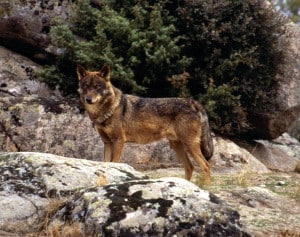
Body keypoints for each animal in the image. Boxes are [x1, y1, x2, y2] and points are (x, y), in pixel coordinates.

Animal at [77, 65, 213, 184]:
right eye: (86, 86)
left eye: (97, 87)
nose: (88, 99)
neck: (106, 110)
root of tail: (192, 102)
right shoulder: (107, 143)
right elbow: (105, 166)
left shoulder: (119, 141)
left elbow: (113, 164)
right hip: (177, 146)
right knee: (190, 167)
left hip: (190, 145)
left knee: (206, 166)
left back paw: (207, 188)